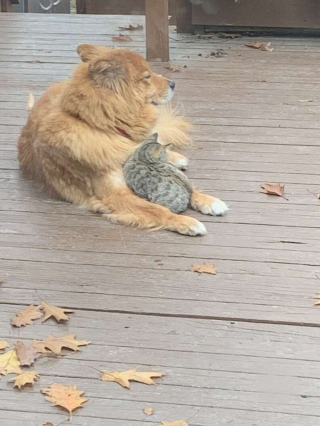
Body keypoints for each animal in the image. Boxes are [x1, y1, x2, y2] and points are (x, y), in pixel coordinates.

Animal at [18, 44, 228, 236]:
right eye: (147, 77)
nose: (173, 83)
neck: (103, 127)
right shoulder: (114, 195)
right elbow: (156, 209)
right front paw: (185, 221)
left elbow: (187, 185)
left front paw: (209, 200)